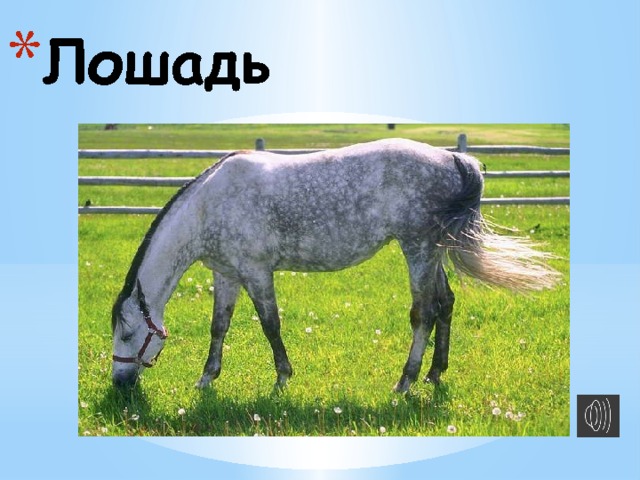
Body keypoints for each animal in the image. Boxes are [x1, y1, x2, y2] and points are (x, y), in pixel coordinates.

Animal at [111, 138, 560, 392]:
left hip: (416, 247)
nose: (119, 385)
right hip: (433, 249)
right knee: (446, 304)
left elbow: (270, 325)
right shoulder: (226, 274)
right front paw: (206, 379)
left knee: (425, 312)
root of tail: (452, 159)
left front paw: (282, 378)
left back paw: (406, 381)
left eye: (128, 333)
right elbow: (219, 327)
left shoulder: (257, 272)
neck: (209, 207)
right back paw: (435, 373)